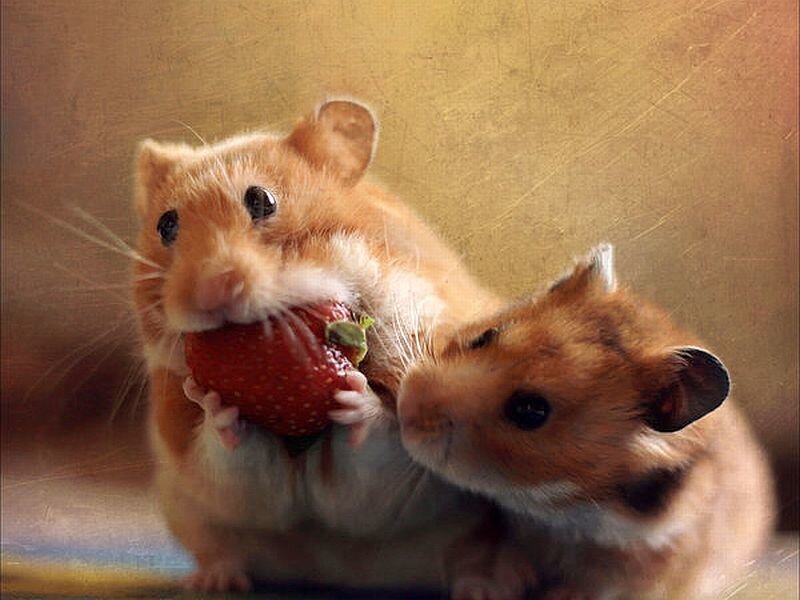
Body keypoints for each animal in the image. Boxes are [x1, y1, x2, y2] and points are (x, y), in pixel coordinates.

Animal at [131, 99, 501, 591]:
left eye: (261, 201)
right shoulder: (204, 467)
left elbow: (377, 452)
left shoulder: (404, 473)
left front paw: (355, 398)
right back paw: (213, 582)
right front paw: (216, 404)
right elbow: (229, 458)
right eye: (165, 224)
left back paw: (485, 587)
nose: (211, 295)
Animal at [398, 244, 775, 599]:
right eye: (485, 336)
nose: (405, 405)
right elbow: (489, 552)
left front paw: (553, 595)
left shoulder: (646, 566)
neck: (563, 512)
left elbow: (597, 585)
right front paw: (483, 589)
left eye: (530, 411)